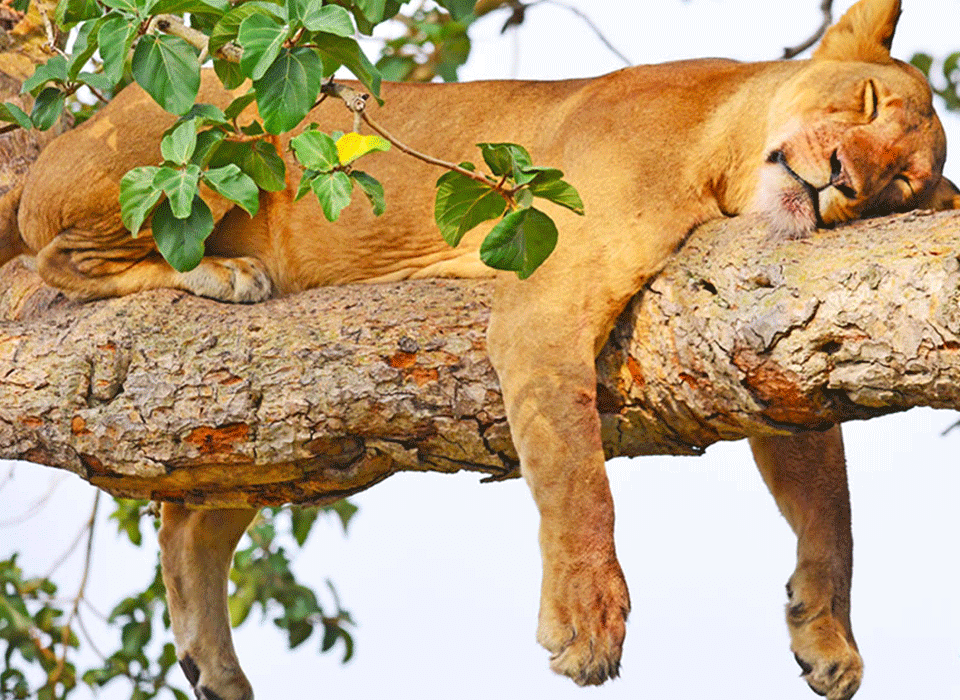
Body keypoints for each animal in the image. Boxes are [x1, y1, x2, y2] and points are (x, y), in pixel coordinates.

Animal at [0, 0, 956, 698]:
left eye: (899, 186)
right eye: (868, 105)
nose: (843, 179)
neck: (725, 154)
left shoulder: (756, 350)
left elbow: (829, 505)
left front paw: (827, 632)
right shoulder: (544, 298)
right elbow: (577, 474)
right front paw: (588, 620)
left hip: (296, 446)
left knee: (190, 514)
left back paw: (216, 669)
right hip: (207, 119)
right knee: (59, 257)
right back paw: (221, 272)